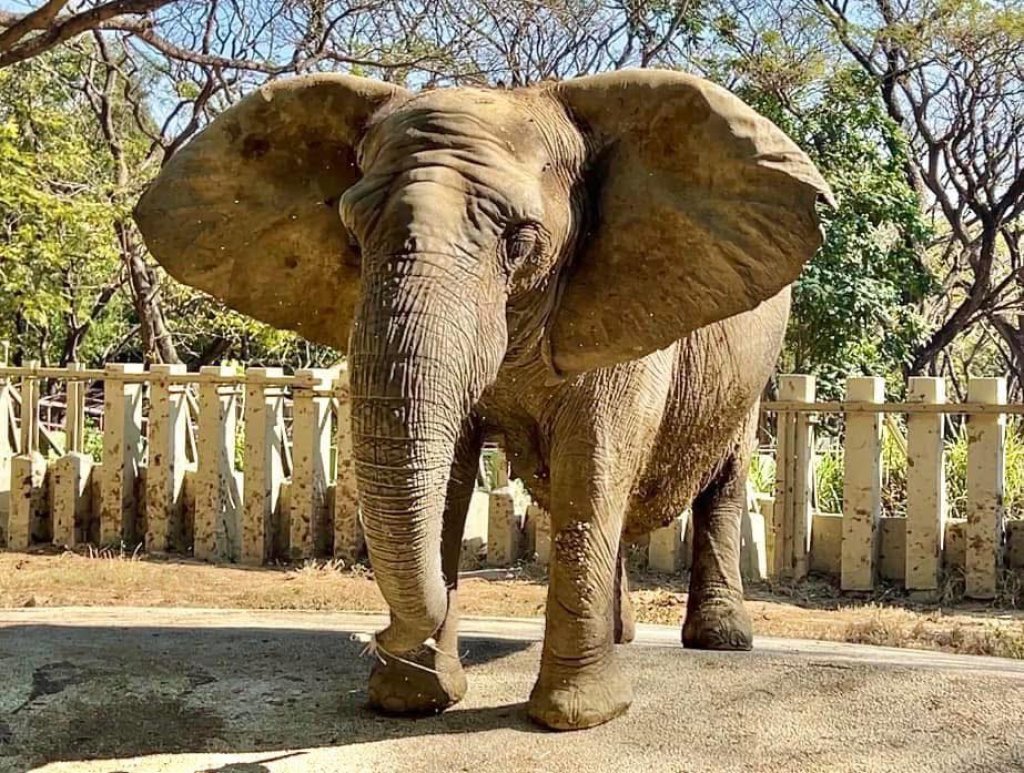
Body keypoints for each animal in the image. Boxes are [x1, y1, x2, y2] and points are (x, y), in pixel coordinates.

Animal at [133, 68, 832, 731]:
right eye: (352, 237)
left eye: (520, 241)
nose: (374, 636)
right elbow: (449, 479)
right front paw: (413, 699)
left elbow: (592, 462)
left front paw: (574, 718)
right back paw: (622, 636)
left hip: (755, 368)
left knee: (721, 481)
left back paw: (720, 641)